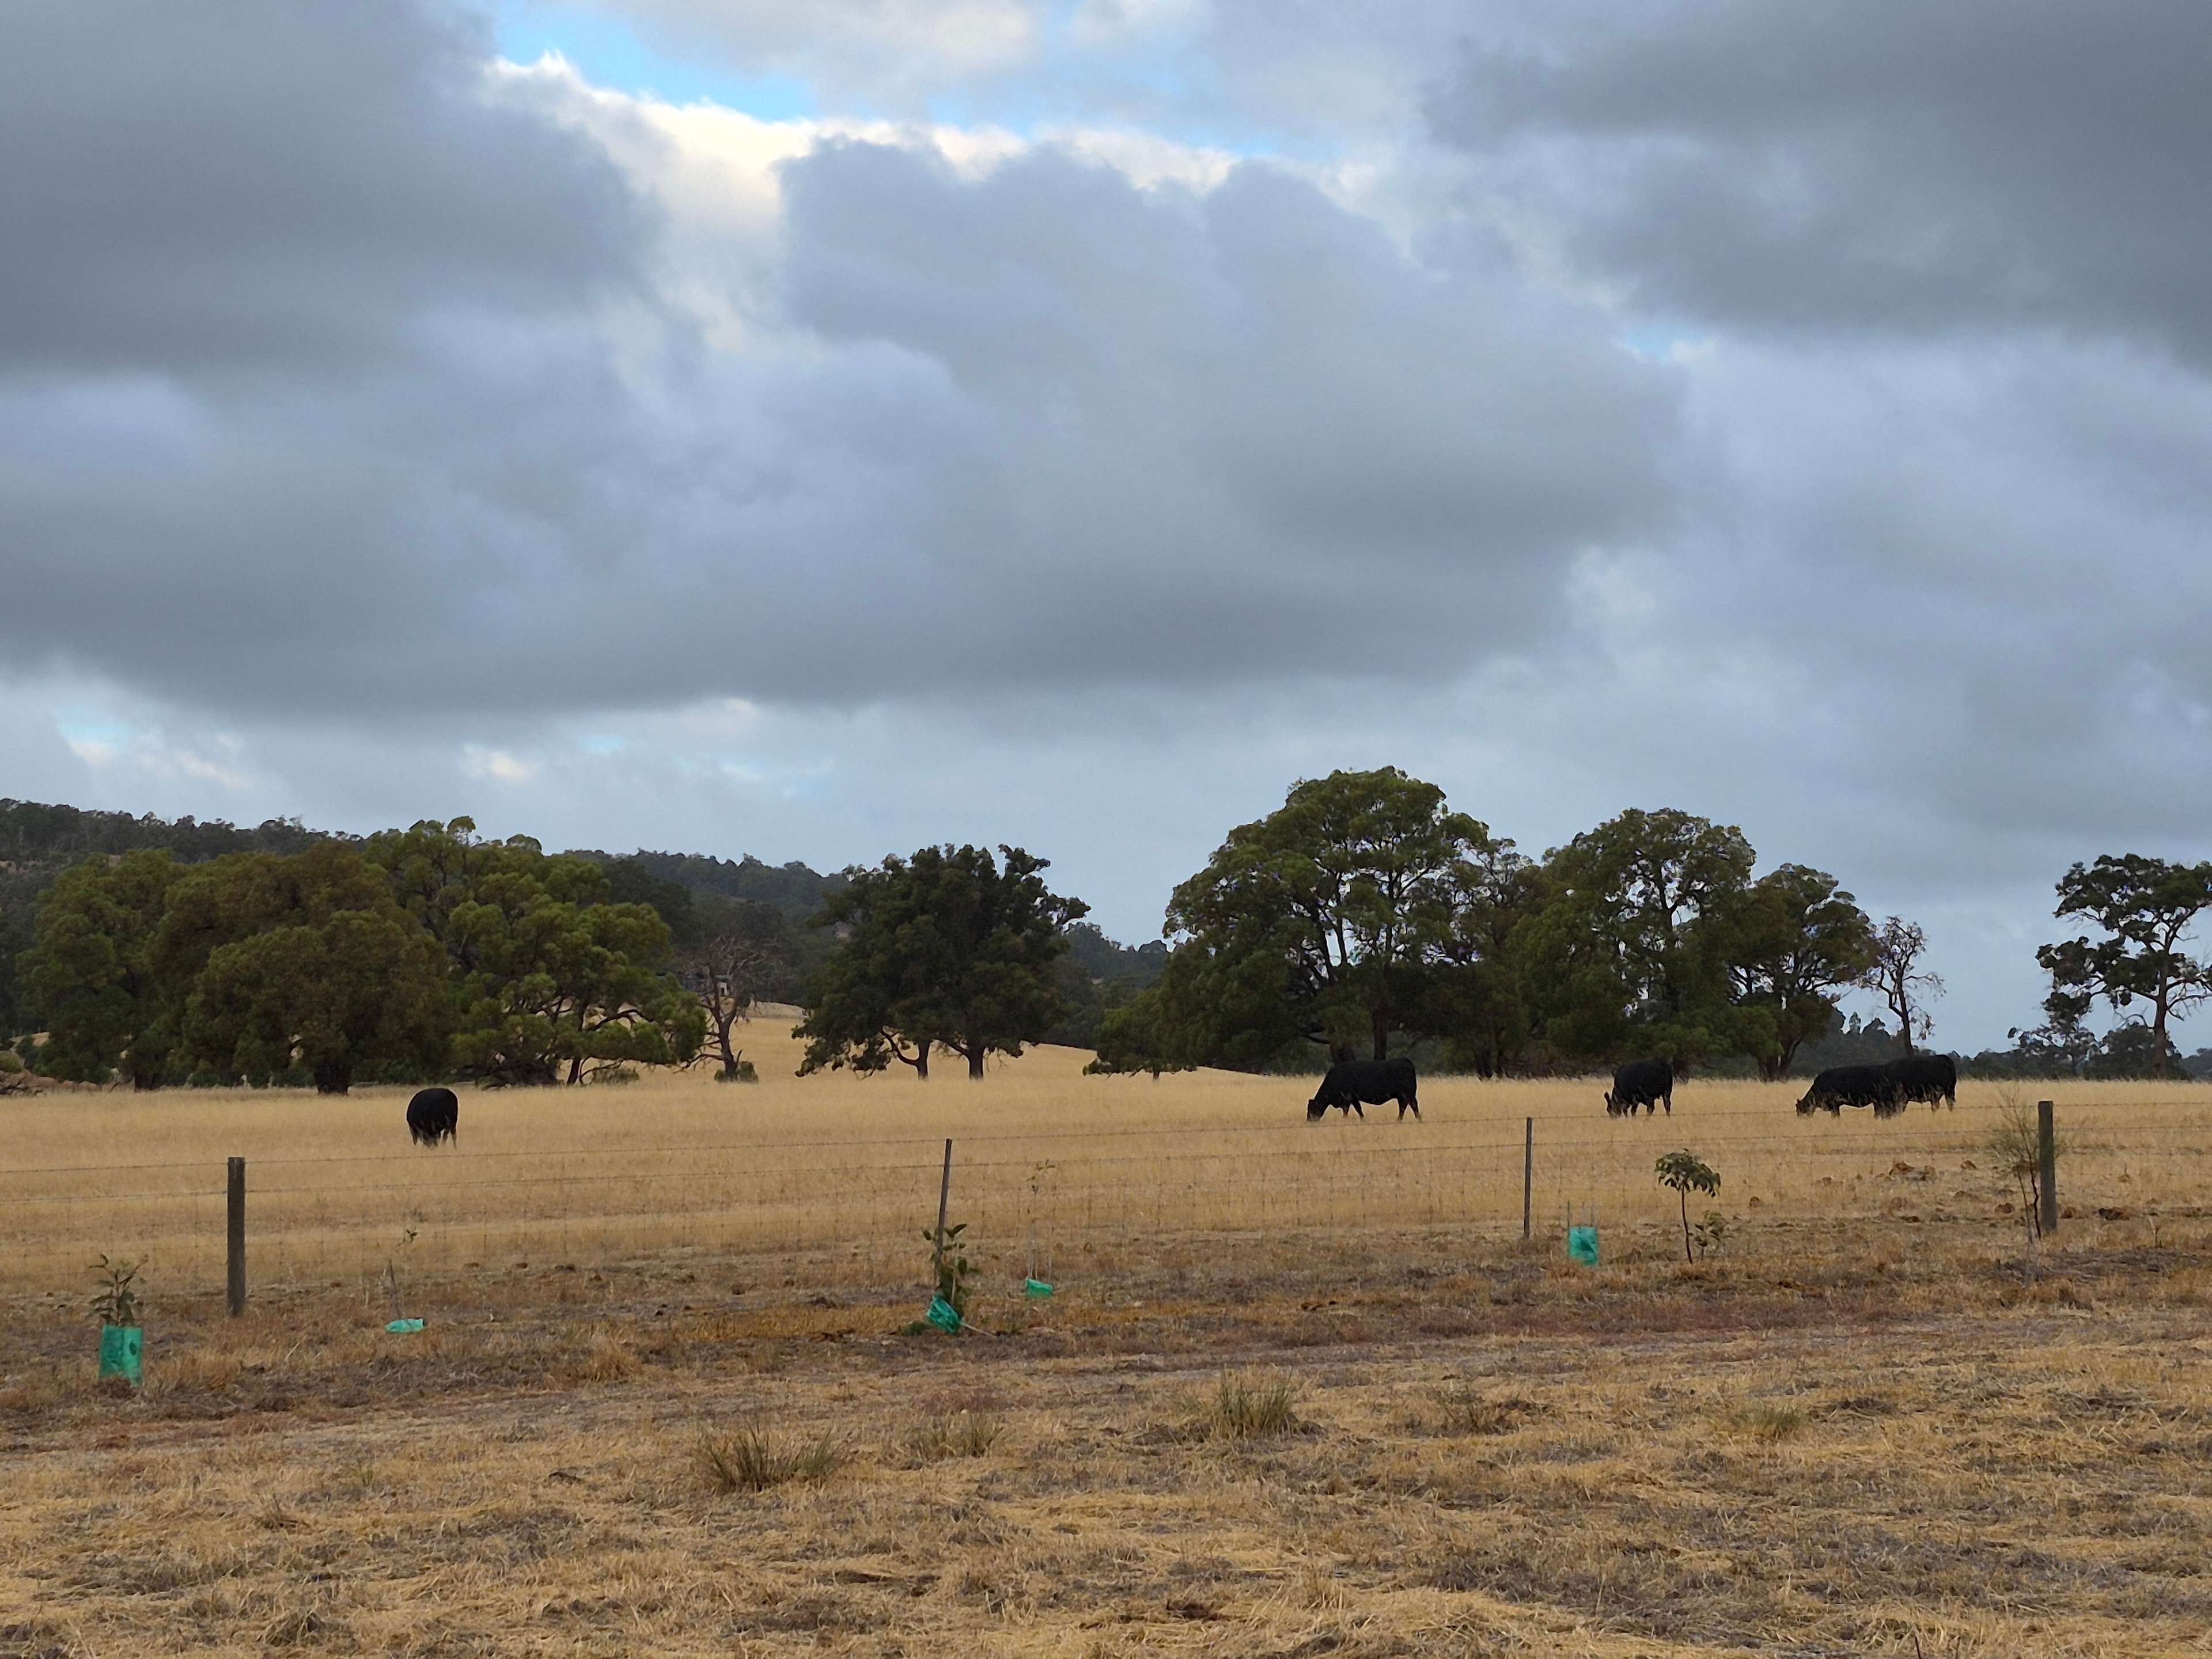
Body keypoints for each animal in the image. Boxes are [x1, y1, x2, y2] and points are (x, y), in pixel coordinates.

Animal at [1307, 1057, 1420, 1121]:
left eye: (1311, 1109)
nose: (1309, 1120)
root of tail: (1404, 1060)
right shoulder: (1349, 1100)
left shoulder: (1350, 1098)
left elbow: (1356, 1110)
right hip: (1402, 1096)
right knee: (1403, 1107)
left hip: (1409, 1094)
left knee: (1413, 1106)